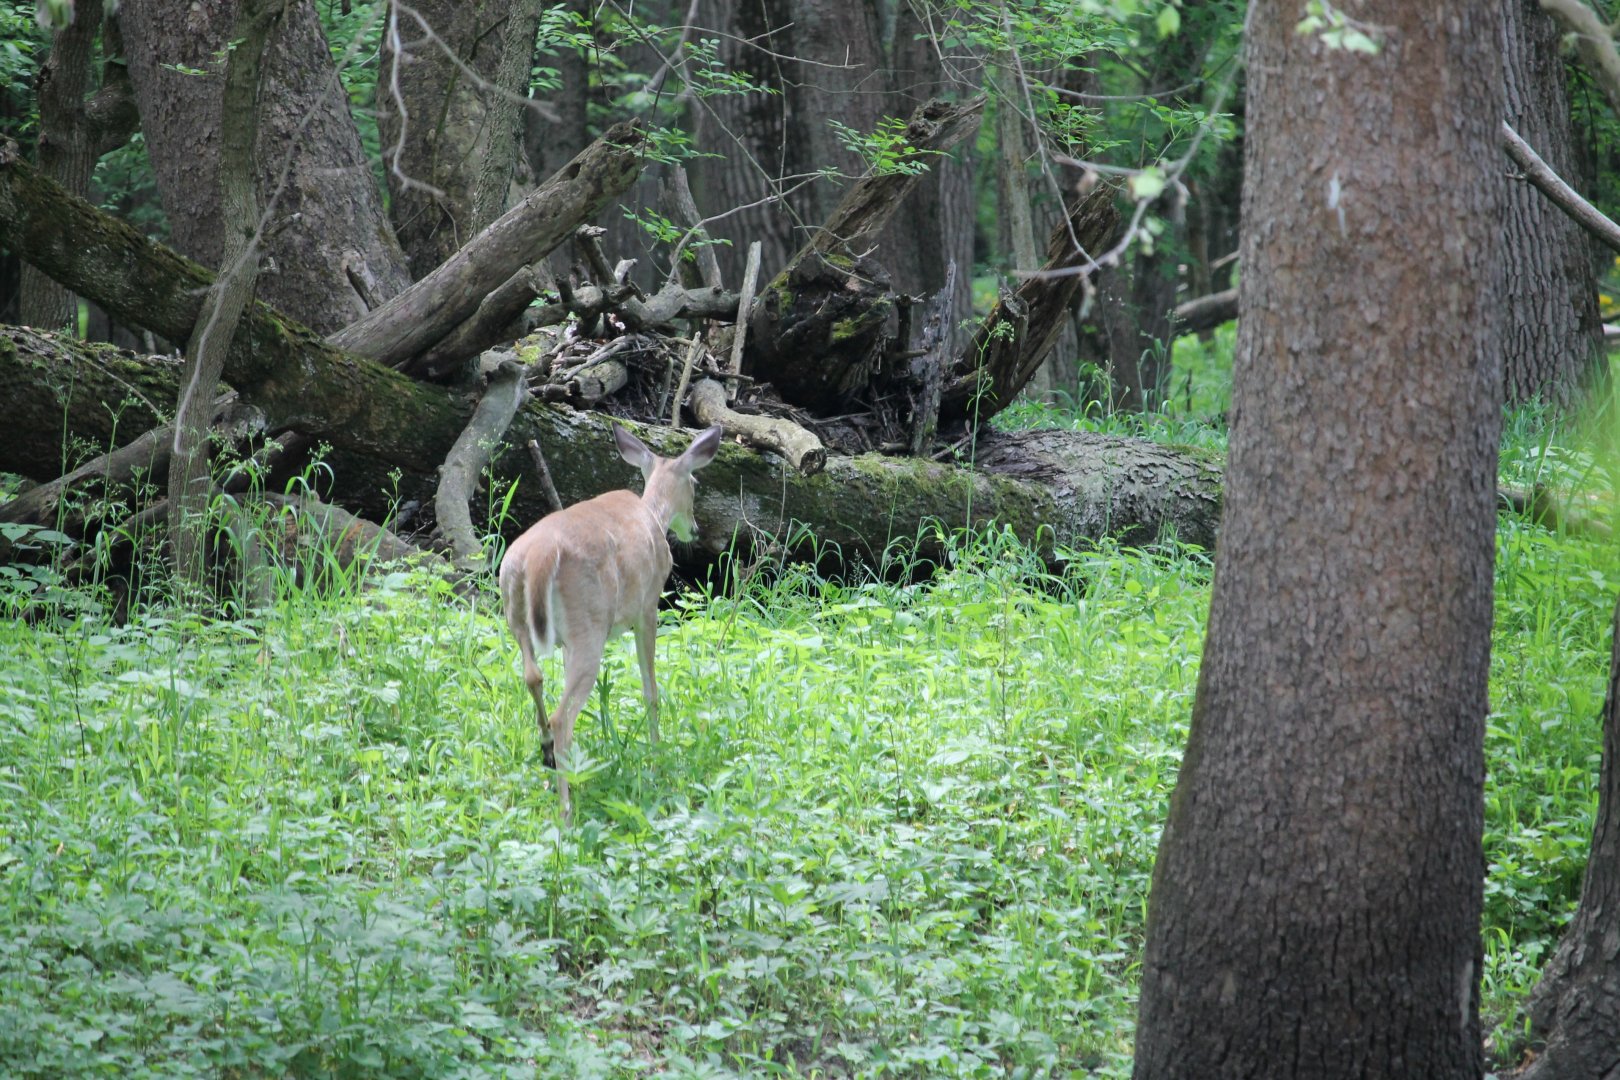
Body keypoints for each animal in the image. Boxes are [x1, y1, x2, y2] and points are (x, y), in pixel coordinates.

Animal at [498, 423, 723, 819]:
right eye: (695, 483)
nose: (695, 530)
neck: (653, 512)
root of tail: (539, 556)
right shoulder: (648, 606)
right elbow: (651, 689)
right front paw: (656, 757)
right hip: (589, 627)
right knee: (562, 717)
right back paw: (566, 810)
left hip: (520, 618)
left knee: (533, 677)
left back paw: (548, 758)